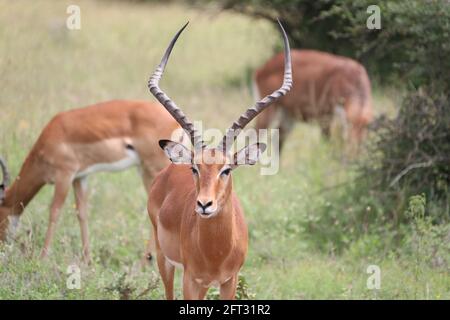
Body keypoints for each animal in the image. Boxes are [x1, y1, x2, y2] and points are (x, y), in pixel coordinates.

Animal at [0, 100, 181, 262]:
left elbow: (54, 212)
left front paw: (42, 258)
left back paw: (143, 263)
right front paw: (88, 260)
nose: (2, 244)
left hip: (151, 170)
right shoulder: (79, 177)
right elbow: (82, 213)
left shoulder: (64, 175)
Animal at [145, 20, 292, 300]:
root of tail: (166, 173)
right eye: (195, 168)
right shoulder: (190, 280)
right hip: (164, 260)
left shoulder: (229, 280)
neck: (216, 252)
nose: (204, 204)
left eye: (227, 169)